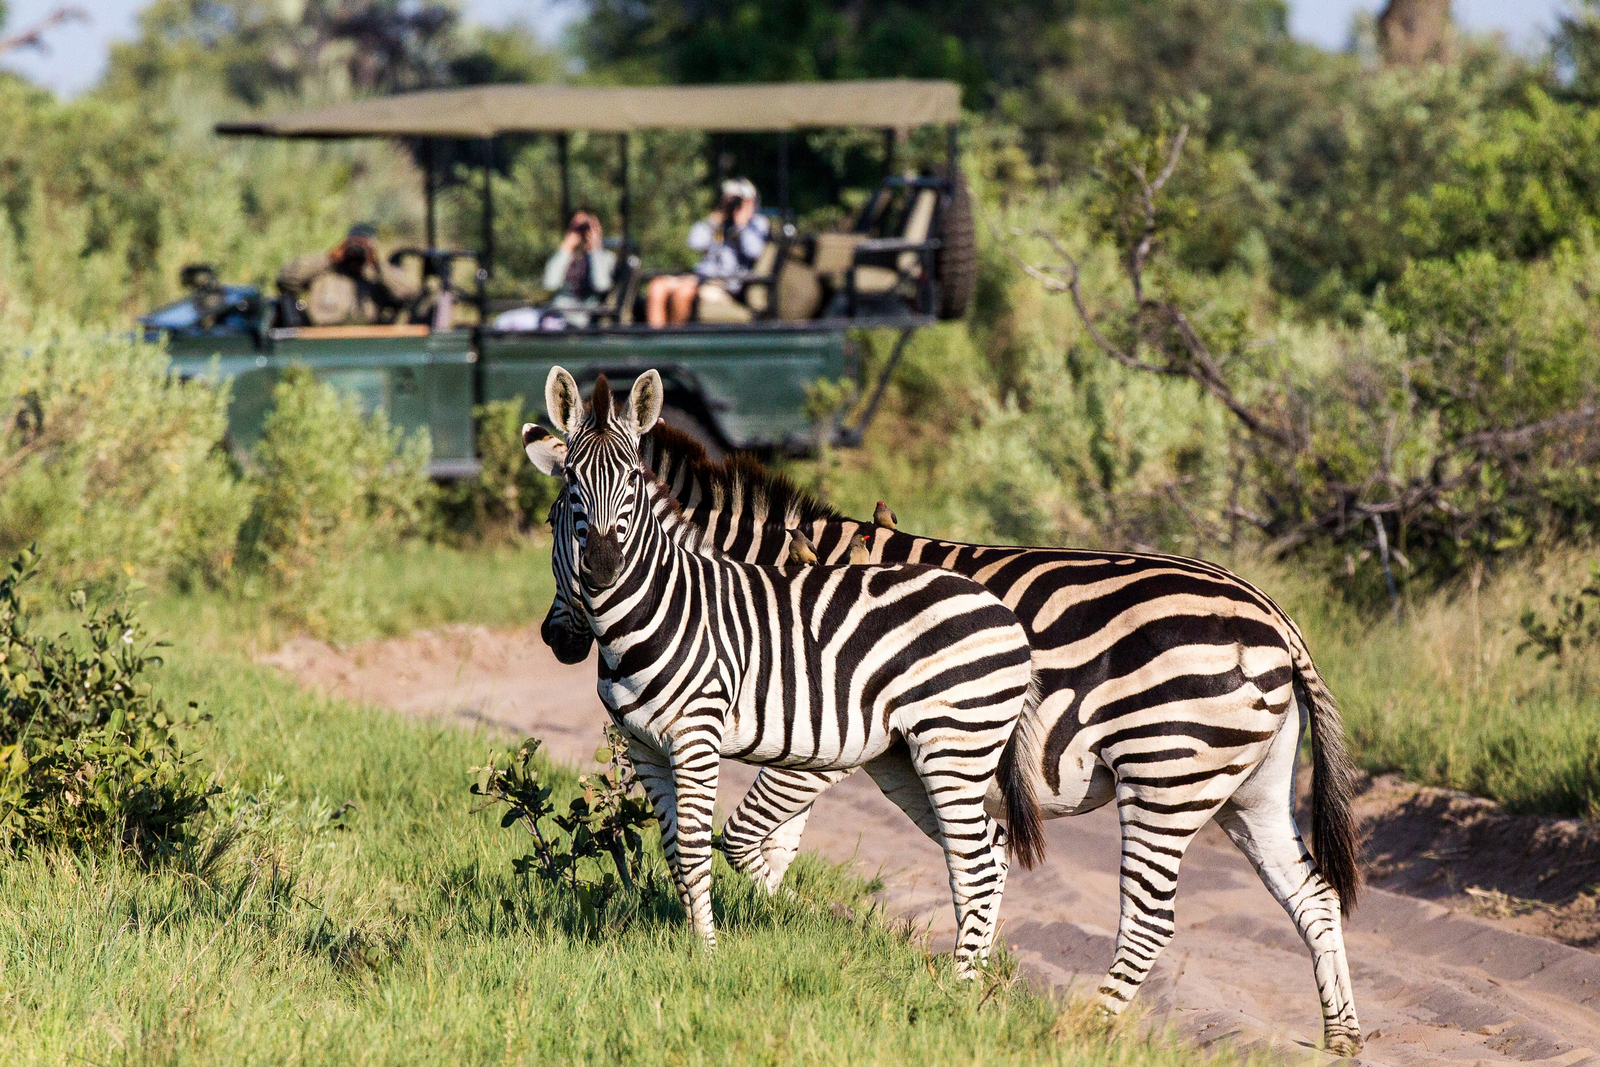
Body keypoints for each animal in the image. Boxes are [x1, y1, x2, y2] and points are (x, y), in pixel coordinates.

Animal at [522, 367, 1046, 976]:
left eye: (631, 481)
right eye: (566, 494)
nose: (603, 569)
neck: (657, 610)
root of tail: (1005, 613)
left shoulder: (697, 736)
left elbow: (696, 847)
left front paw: (708, 955)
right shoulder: (642, 745)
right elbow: (674, 849)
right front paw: (691, 945)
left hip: (955, 745)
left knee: (977, 863)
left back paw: (957, 985)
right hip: (909, 758)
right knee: (990, 850)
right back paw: (973, 977)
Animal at [537, 419, 1365, 1056]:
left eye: (567, 538)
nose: (556, 640)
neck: (763, 586)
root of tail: (1273, 615)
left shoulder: (826, 736)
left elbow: (745, 837)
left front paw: (797, 922)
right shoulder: (834, 740)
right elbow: (776, 842)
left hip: (1164, 770)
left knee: (1151, 915)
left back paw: (1086, 1027)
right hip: (1248, 788)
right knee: (1313, 894)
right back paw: (1342, 1035)